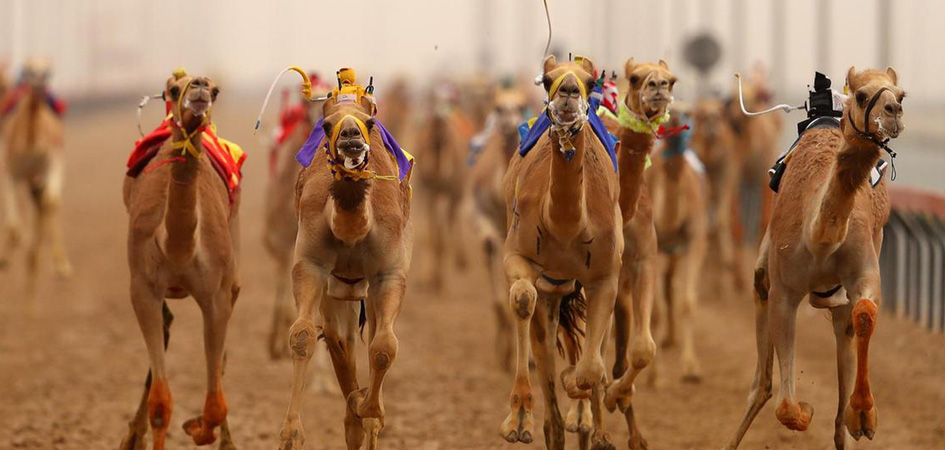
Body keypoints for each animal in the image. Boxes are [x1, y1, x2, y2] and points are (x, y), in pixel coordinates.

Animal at [0, 61, 72, 298]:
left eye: (48, 71)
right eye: (27, 69)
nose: (39, 85)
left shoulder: (50, 165)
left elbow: (50, 203)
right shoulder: (11, 171)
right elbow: (14, 224)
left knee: (47, 204)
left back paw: (58, 264)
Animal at [118, 69, 242, 450]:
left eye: (216, 90)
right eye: (172, 90)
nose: (199, 86)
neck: (179, 246)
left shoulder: (216, 295)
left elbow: (216, 401)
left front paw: (197, 427)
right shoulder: (143, 287)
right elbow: (161, 402)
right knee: (167, 323)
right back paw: (133, 436)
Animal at [278, 67, 414, 450]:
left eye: (369, 121)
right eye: (326, 126)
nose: (351, 136)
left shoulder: (389, 273)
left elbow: (384, 347)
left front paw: (372, 410)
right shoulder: (310, 264)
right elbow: (302, 337)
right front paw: (291, 434)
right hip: (339, 291)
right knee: (341, 343)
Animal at [498, 54, 624, 448]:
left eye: (590, 81)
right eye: (548, 78)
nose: (568, 90)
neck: (567, 226)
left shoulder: (605, 276)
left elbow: (590, 370)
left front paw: (584, 400)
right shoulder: (518, 255)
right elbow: (522, 298)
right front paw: (517, 420)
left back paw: (592, 424)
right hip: (552, 291)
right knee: (551, 419)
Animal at [728, 67, 904, 450]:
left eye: (901, 94)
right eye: (861, 95)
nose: (893, 111)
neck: (820, 237)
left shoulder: (864, 268)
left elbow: (865, 312)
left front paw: (864, 416)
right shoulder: (784, 289)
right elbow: (785, 407)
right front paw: (806, 411)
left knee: (846, 331)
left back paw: (848, 421)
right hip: (767, 272)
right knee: (761, 384)